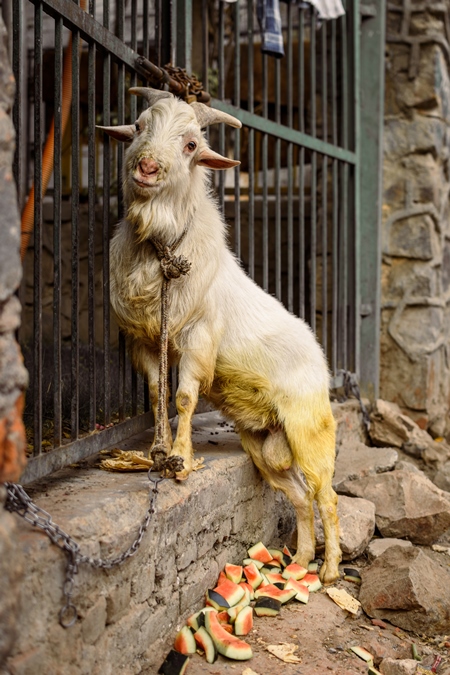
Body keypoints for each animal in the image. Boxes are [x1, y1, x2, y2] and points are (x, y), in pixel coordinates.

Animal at [97, 88, 338, 588]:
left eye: (191, 144)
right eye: (139, 125)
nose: (147, 167)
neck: (163, 248)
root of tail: (320, 358)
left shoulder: (199, 339)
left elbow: (186, 397)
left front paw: (181, 460)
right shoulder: (146, 343)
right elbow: (158, 393)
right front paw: (158, 453)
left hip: (310, 429)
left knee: (326, 495)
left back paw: (329, 569)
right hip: (265, 446)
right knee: (299, 497)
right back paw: (303, 560)